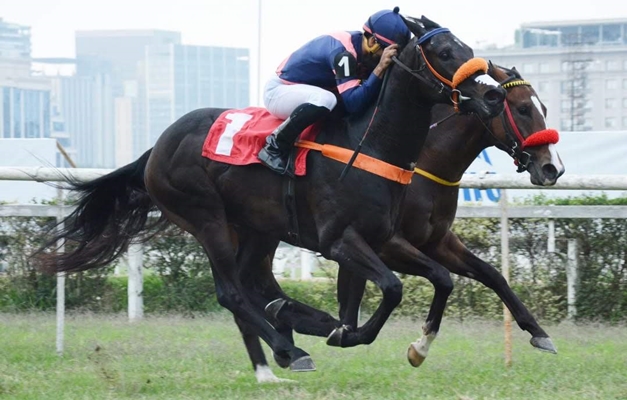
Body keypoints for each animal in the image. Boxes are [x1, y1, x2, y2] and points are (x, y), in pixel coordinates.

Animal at [36, 15, 506, 376]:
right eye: (444, 52)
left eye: (466, 47)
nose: (492, 95)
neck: (370, 143)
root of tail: (156, 148)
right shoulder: (340, 240)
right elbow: (390, 289)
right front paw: (346, 332)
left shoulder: (386, 238)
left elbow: (439, 278)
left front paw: (413, 346)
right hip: (206, 218)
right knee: (231, 293)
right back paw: (288, 349)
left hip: (257, 227)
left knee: (253, 285)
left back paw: (291, 324)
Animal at [228, 62, 568, 382]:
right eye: (522, 108)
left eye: (544, 108)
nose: (553, 168)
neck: (420, 163)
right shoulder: (384, 245)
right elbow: (426, 283)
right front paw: (417, 347)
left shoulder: (437, 241)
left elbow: (491, 275)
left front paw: (539, 333)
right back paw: (277, 353)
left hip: (260, 233)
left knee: (249, 283)